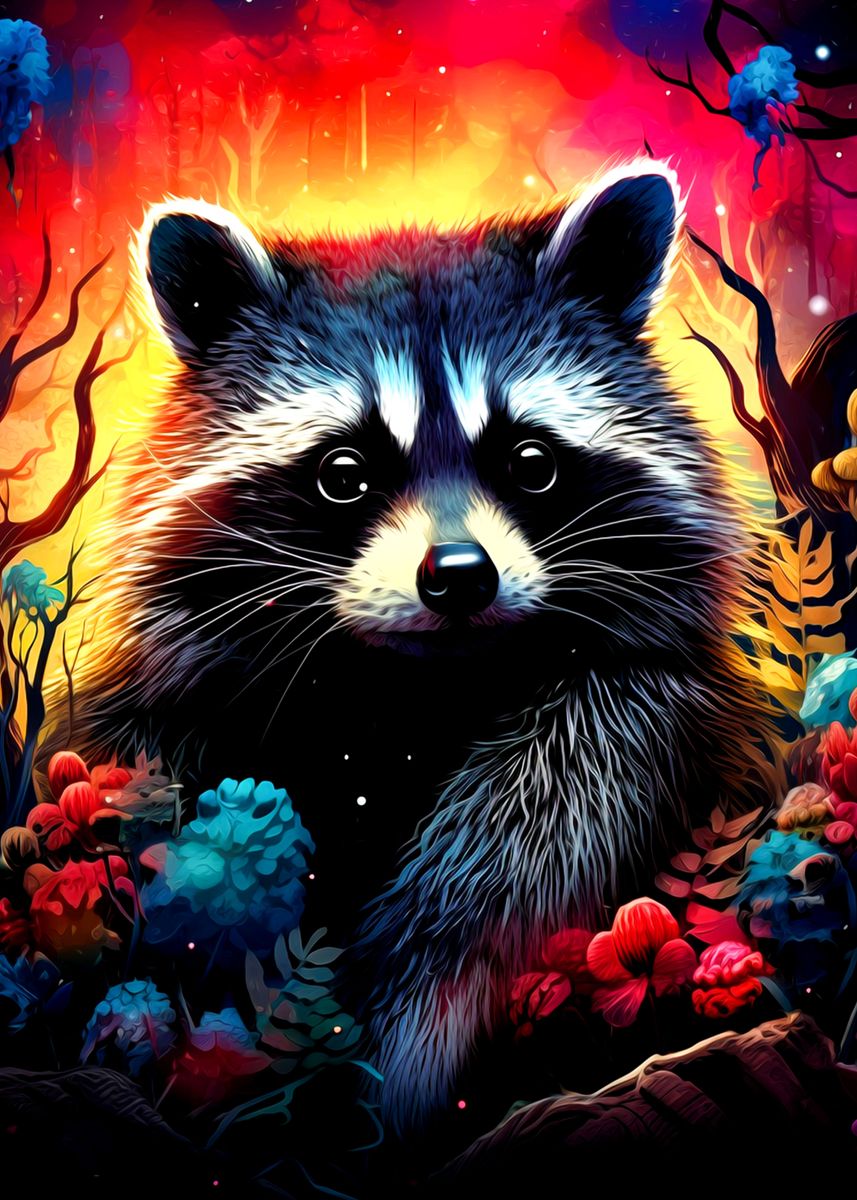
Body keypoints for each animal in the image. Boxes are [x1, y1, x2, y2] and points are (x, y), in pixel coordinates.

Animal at [54, 160, 776, 1136]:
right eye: (343, 473)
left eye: (531, 461)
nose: (460, 575)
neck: (413, 693)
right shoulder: (173, 705)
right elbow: (140, 778)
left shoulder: (652, 702)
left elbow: (549, 821)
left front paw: (413, 1024)